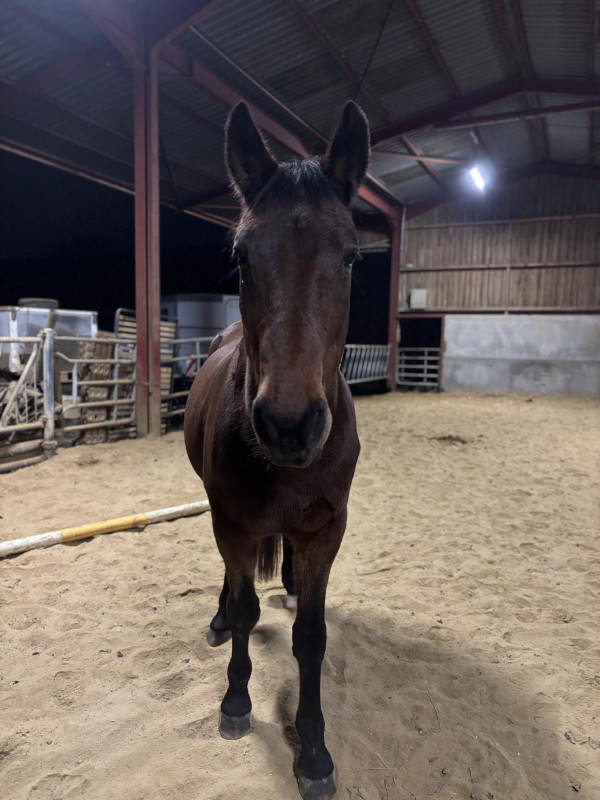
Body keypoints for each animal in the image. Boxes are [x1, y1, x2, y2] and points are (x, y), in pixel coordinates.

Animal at [184, 99, 370, 800]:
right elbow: (242, 610)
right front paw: (236, 701)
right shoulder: (231, 522)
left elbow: (310, 639)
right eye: (241, 256)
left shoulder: (325, 529)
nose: (290, 426)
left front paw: (314, 750)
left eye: (351, 258)